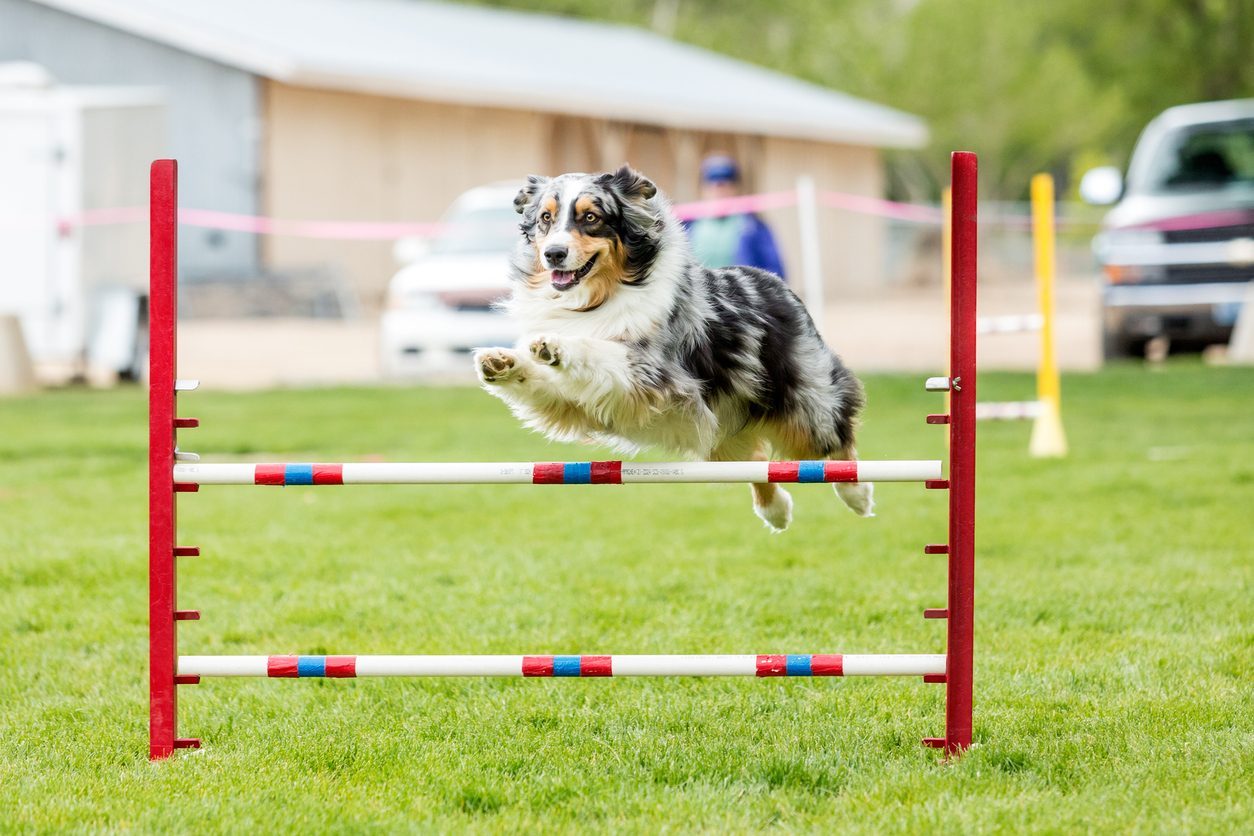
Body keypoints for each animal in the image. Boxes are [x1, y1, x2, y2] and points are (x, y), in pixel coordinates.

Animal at [471, 164, 872, 533]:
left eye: (591, 217)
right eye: (546, 218)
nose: (554, 254)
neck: (596, 298)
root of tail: (777, 283)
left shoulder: (651, 373)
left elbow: (599, 349)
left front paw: (558, 346)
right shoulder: (574, 403)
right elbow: (541, 380)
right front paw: (501, 362)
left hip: (805, 404)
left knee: (834, 439)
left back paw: (857, 493)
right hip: (723, 430)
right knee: (758, 461)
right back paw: (776, 511)